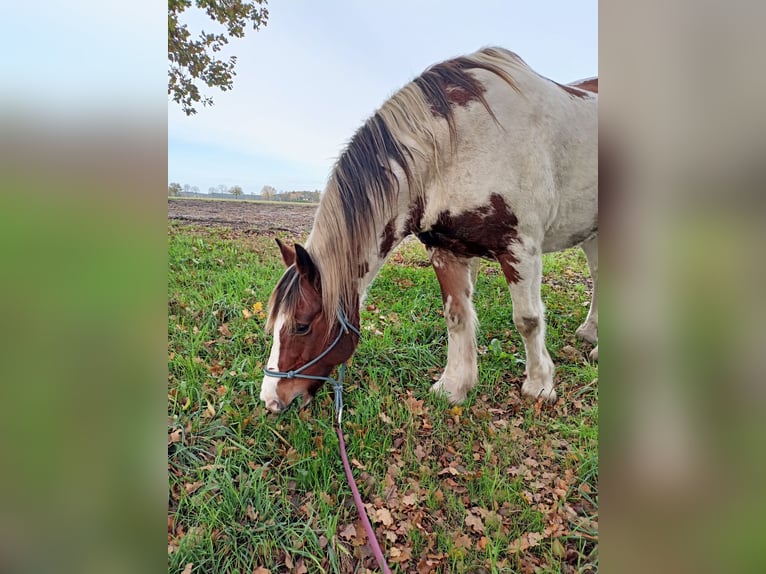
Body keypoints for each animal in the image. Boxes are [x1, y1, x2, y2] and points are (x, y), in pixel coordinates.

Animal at [262, 46, 600, 414]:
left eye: (301, 325)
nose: (271, 399)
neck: (459, 145)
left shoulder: (520, 248)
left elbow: (528, 320)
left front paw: (539, 385)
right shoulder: (445, 249)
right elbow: (457, 317)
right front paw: (453, 387)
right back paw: (591, 333)